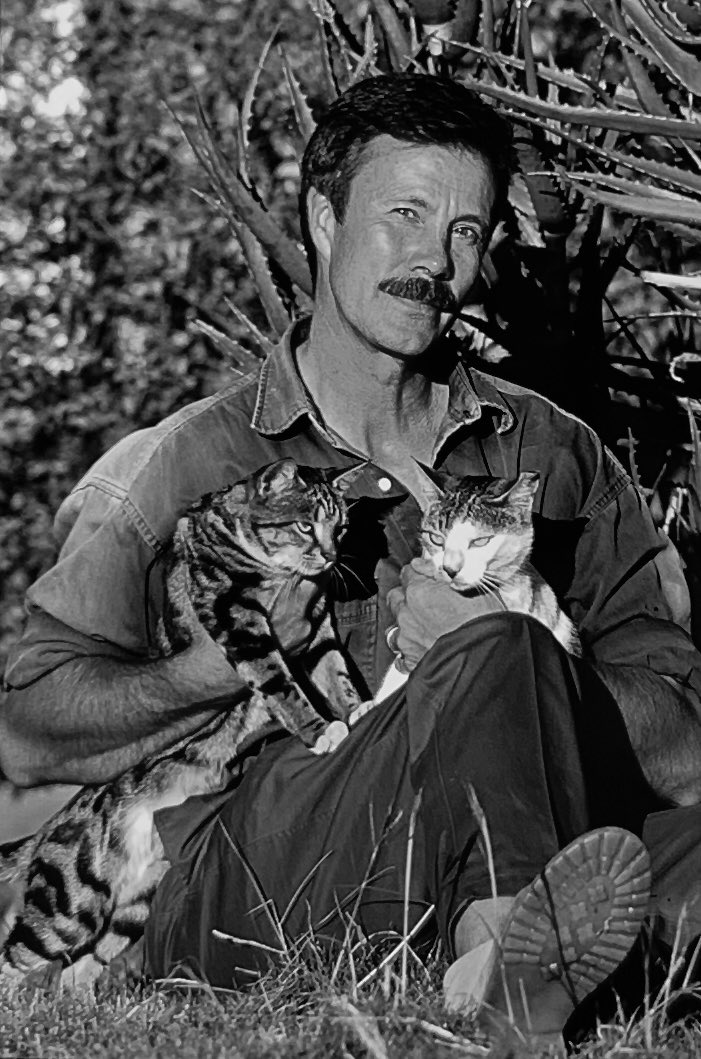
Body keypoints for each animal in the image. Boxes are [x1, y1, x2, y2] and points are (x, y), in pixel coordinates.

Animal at [0, 459, 362, 986]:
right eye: (303, 525)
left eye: (342, 528)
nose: (332, 557)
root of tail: (50, 827)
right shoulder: (238, 617)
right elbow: (281, 684)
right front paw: (322, 732)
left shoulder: (317, 626)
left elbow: (339, 675)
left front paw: (361, 708)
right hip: (69, 900)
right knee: (16, 960)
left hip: (133, 904)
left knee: (77, 971)